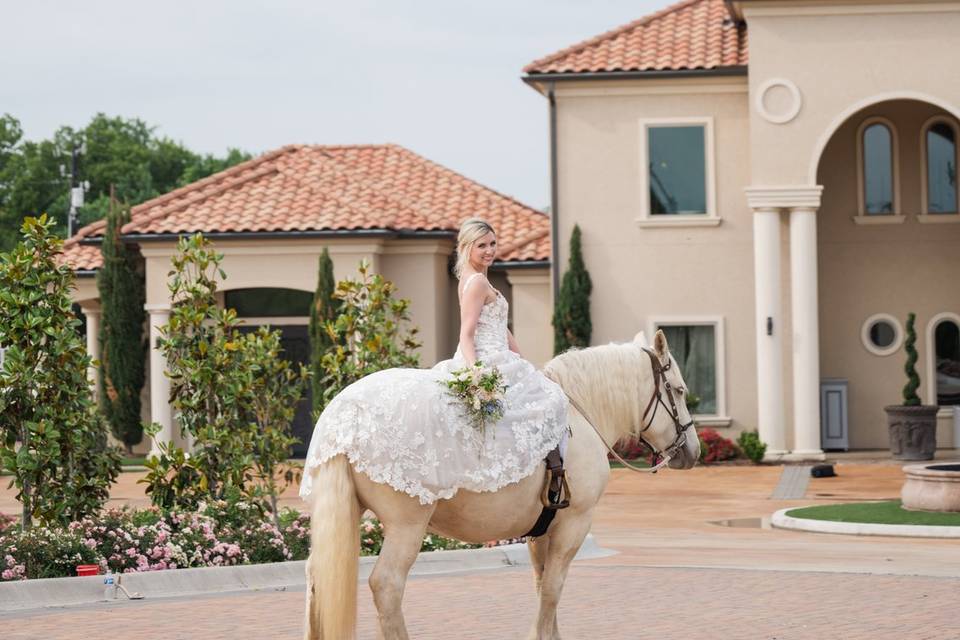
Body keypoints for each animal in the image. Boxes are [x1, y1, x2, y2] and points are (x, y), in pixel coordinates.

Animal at [304, 330, 700, 640]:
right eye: (680, 391)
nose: (692, 451)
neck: (580, 413)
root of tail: (344, 417)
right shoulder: (573, 524)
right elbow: (553, 589)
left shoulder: (541, 531)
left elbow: (542, 588)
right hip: (407, 527)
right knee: (387, 585)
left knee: (318, 576)